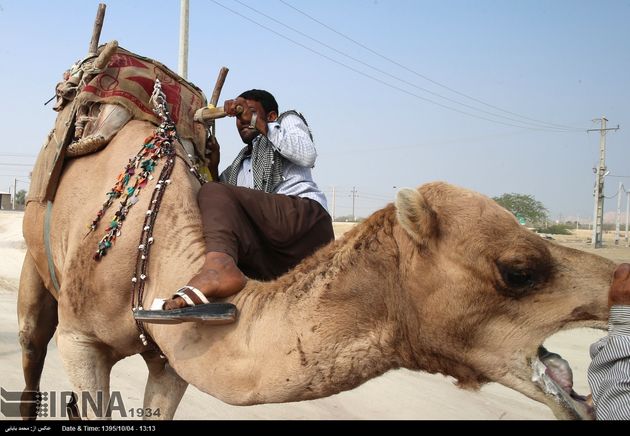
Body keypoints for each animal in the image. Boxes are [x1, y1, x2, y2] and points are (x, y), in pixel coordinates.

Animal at [18, 82, 616, 422]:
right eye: (519, 271)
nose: (618, 281)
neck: (151, 258)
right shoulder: (81, 340)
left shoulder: (174, 359)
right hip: (35, 273)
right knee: (30, 346)